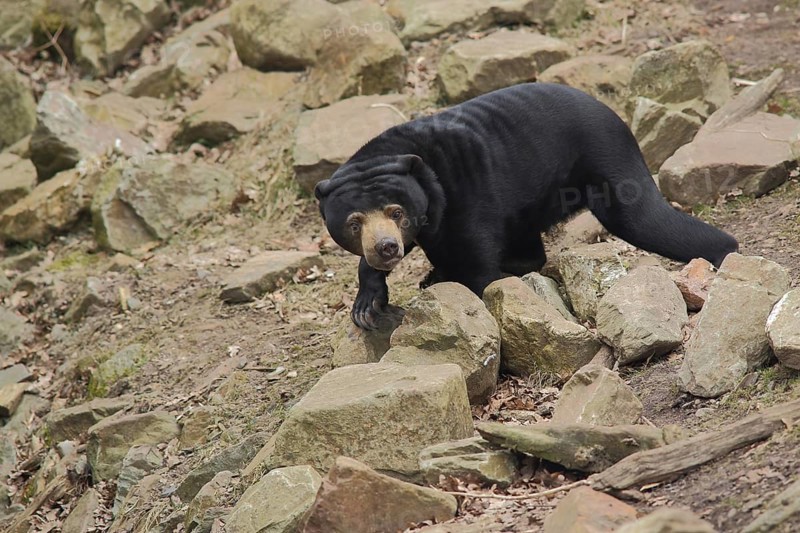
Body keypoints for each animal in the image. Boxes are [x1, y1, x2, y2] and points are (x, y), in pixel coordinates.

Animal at [315, 83, 738, 329]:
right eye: (354, 222)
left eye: (396, 212)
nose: (387, 247)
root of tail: (612, 113)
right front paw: (367, 305)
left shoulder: (465, 201)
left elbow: (479, 270)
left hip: (607, 161)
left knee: (645, 219)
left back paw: (726, 252)